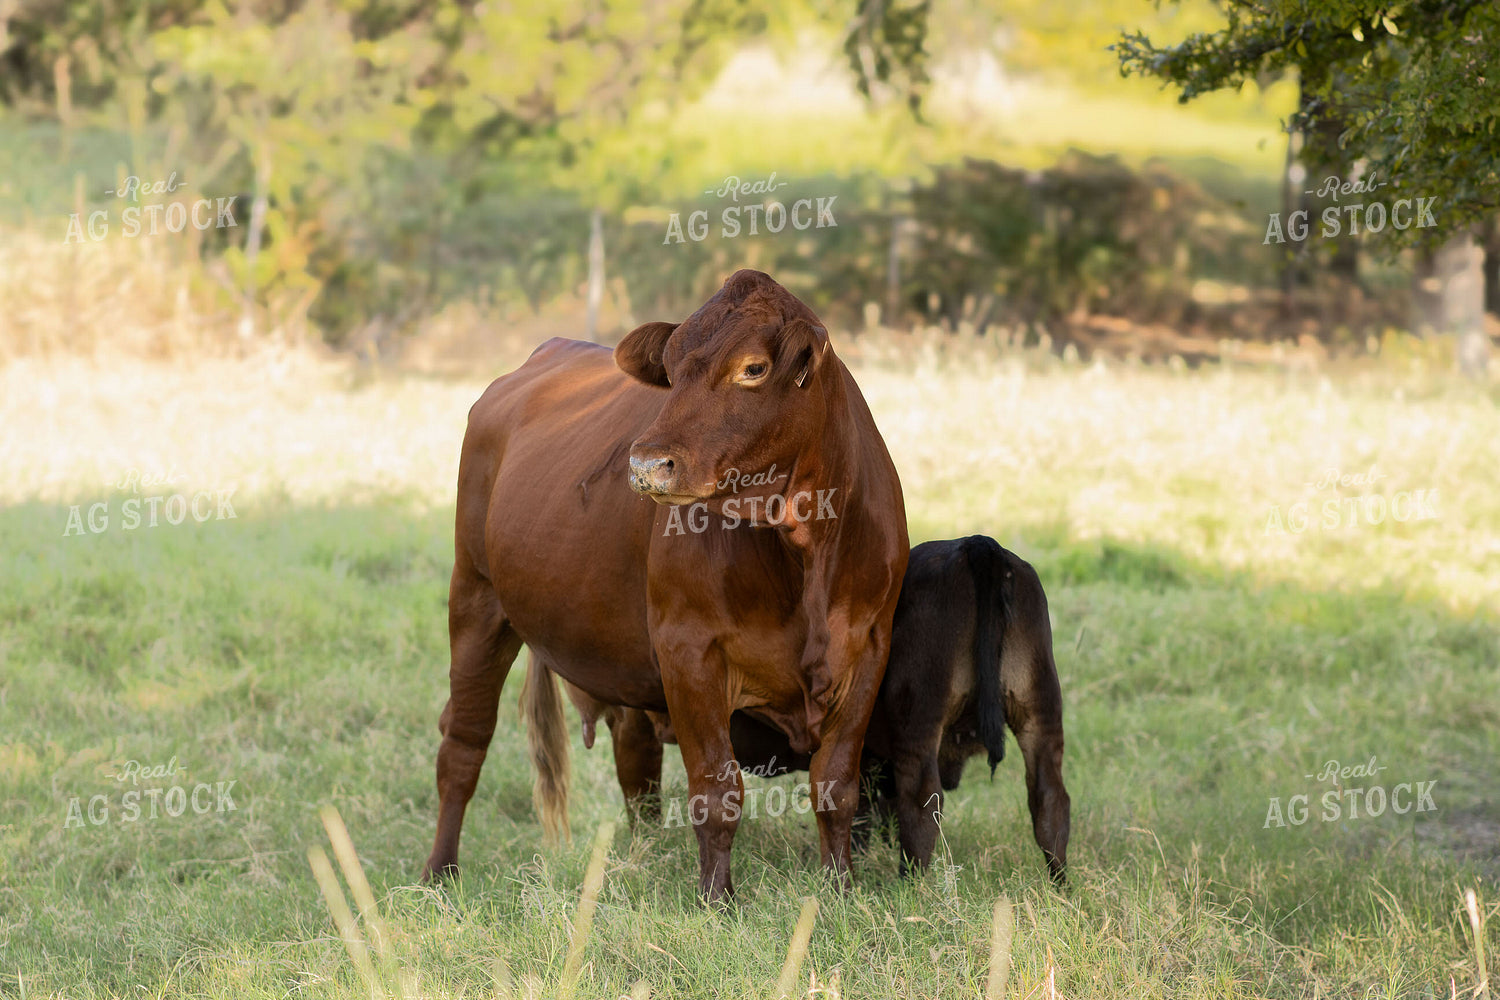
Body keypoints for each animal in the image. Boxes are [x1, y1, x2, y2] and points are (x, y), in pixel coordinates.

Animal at [422, 269, 909, 902]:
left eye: (753, 368)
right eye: (671, 372)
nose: (648, 465)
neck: (804, 554)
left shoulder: (871, 647)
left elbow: (836, 784)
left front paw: (840, 890)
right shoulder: (688, 649)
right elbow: (717, 791)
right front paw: (717, 902)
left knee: (637, 764)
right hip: (476, 597)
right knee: (464, 743)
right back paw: (439, 873)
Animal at [528, 536, 1070, 883]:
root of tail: (977, 545)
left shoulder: (634, 726)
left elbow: (642, 800)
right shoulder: (868, 761)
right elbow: (862, 814)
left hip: (919, 726)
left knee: (921, 804)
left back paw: (911, 885)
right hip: (1040, 712)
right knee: (1050, 798)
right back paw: (1058, 887)